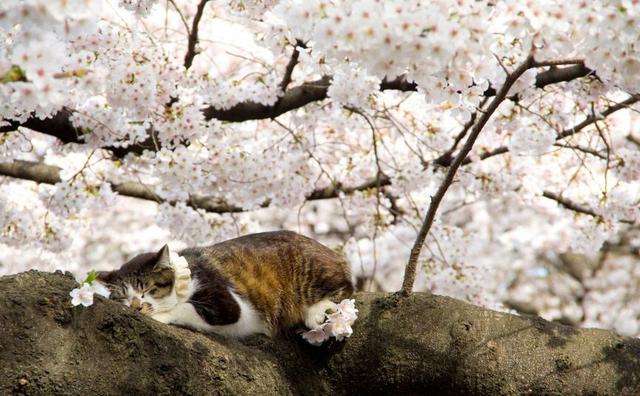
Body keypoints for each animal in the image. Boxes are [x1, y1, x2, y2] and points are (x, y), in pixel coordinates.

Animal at [97, 230, 352, 338]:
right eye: (123, 298)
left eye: (149, 289)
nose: (136, 306)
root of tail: (335, 253)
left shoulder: (229, 304)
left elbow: (186, 307)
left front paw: (160, 315)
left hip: (307, 270)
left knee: (344, 288)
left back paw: (316, 312)